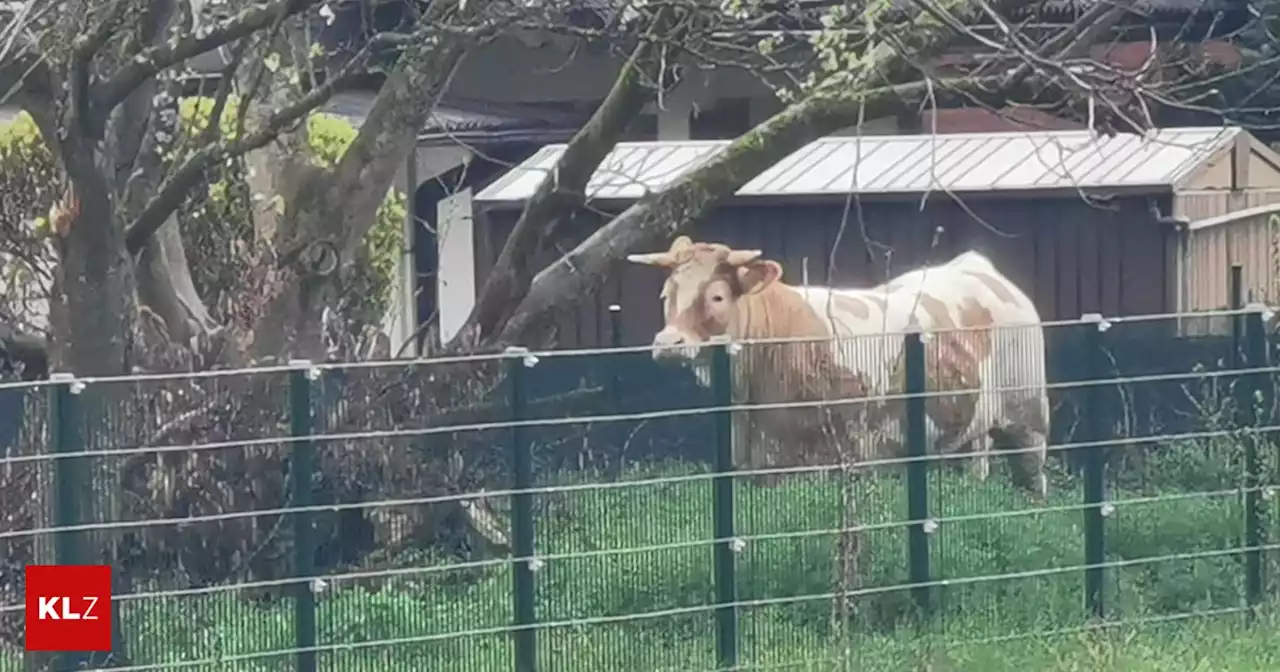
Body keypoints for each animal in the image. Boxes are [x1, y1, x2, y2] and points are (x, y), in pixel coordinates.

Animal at [627, 232, 1049, 499]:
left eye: (717, 296)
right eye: (666, 295)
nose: (668, 344)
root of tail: (976, 267)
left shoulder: (835, 455)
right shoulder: (757, 462)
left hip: (1029, 417)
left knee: (1033, 477)